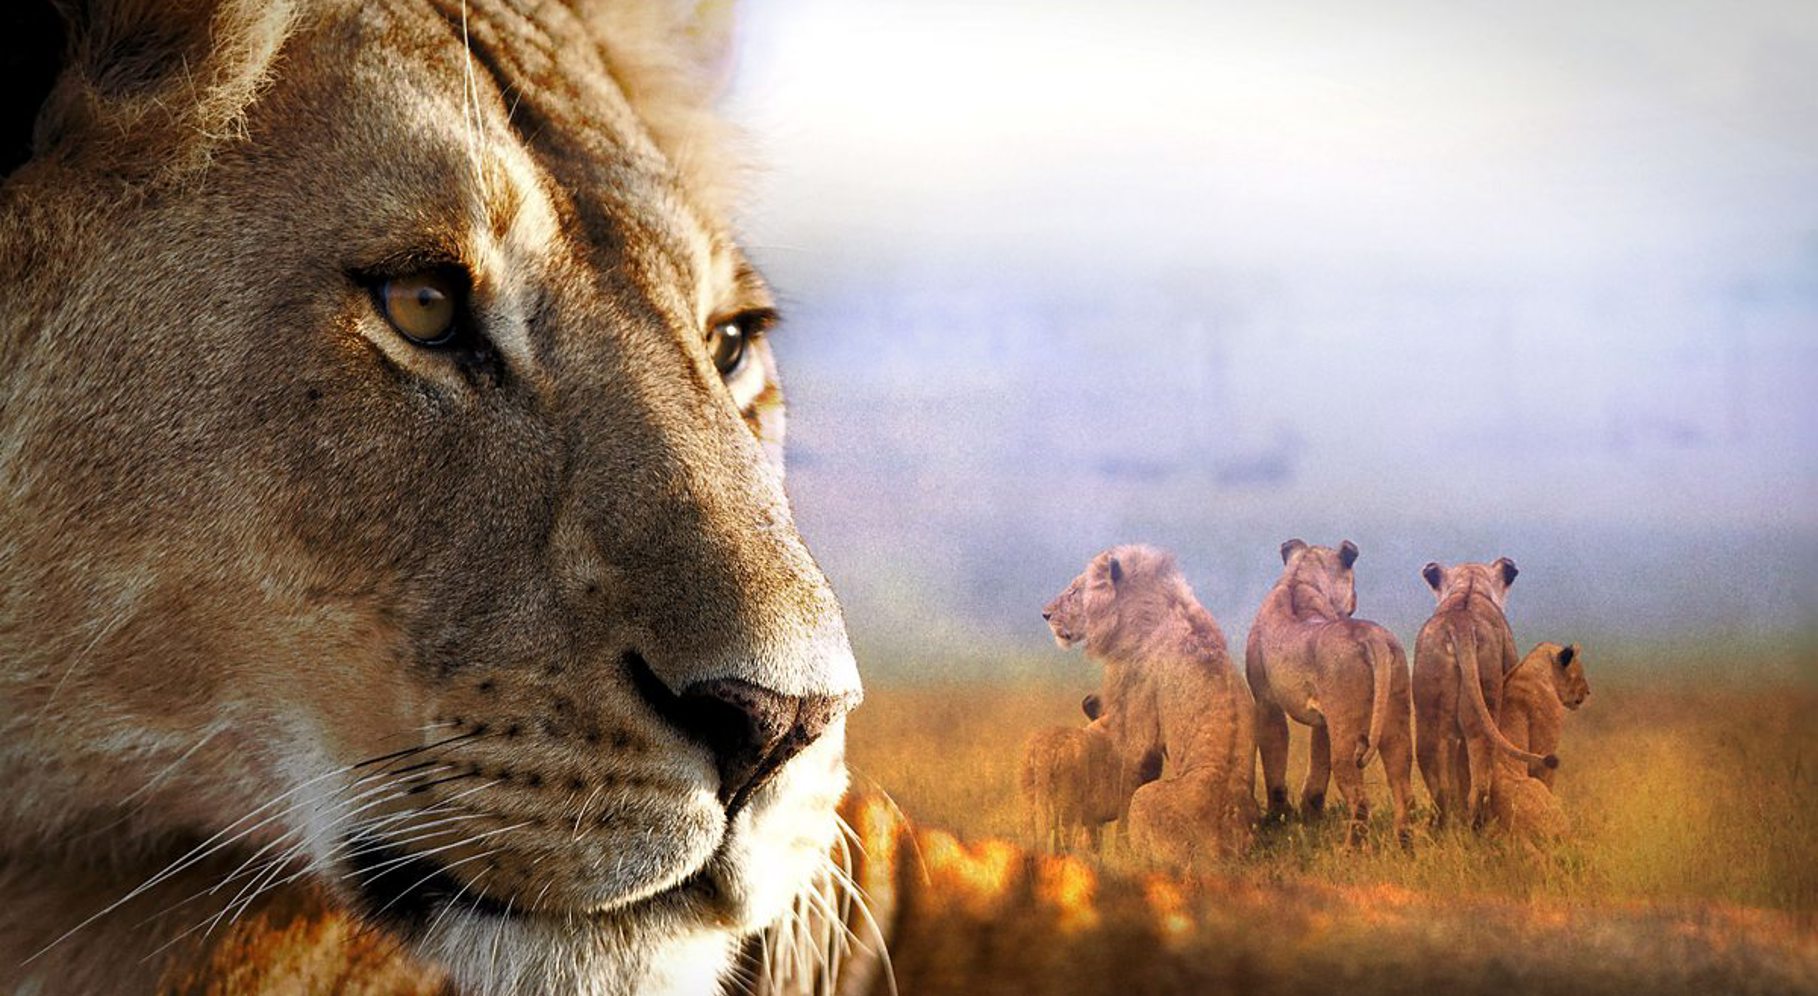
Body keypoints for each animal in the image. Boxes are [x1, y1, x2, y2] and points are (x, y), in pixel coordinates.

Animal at [1044, 545, 1257, 867]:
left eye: (1074, 591)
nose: (1045, 614)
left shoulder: (1137, 728)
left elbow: (1123, 791)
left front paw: (1117, 854)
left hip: (1146, 800)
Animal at [1246, 539, 1415, 847]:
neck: (1298, 580)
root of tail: (1371, 637)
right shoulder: (1325, 720)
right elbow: (1317, 770)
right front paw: (1309, 815)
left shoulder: (1266, 703)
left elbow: (1275, 764)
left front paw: (1278, 817)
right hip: (1395, 720)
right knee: (1403, 790)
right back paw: (1404, 845)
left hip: (1347, 732)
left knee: (1360, 802)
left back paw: (1349, 850)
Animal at [1412, 559, 1555, 830]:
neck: (1469, 585)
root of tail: (1460, 624)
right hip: (1483, 709)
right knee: (1478, 787)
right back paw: (1478, 826)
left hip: (1428, 720)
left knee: (1440, 788)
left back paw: (1440, 827)